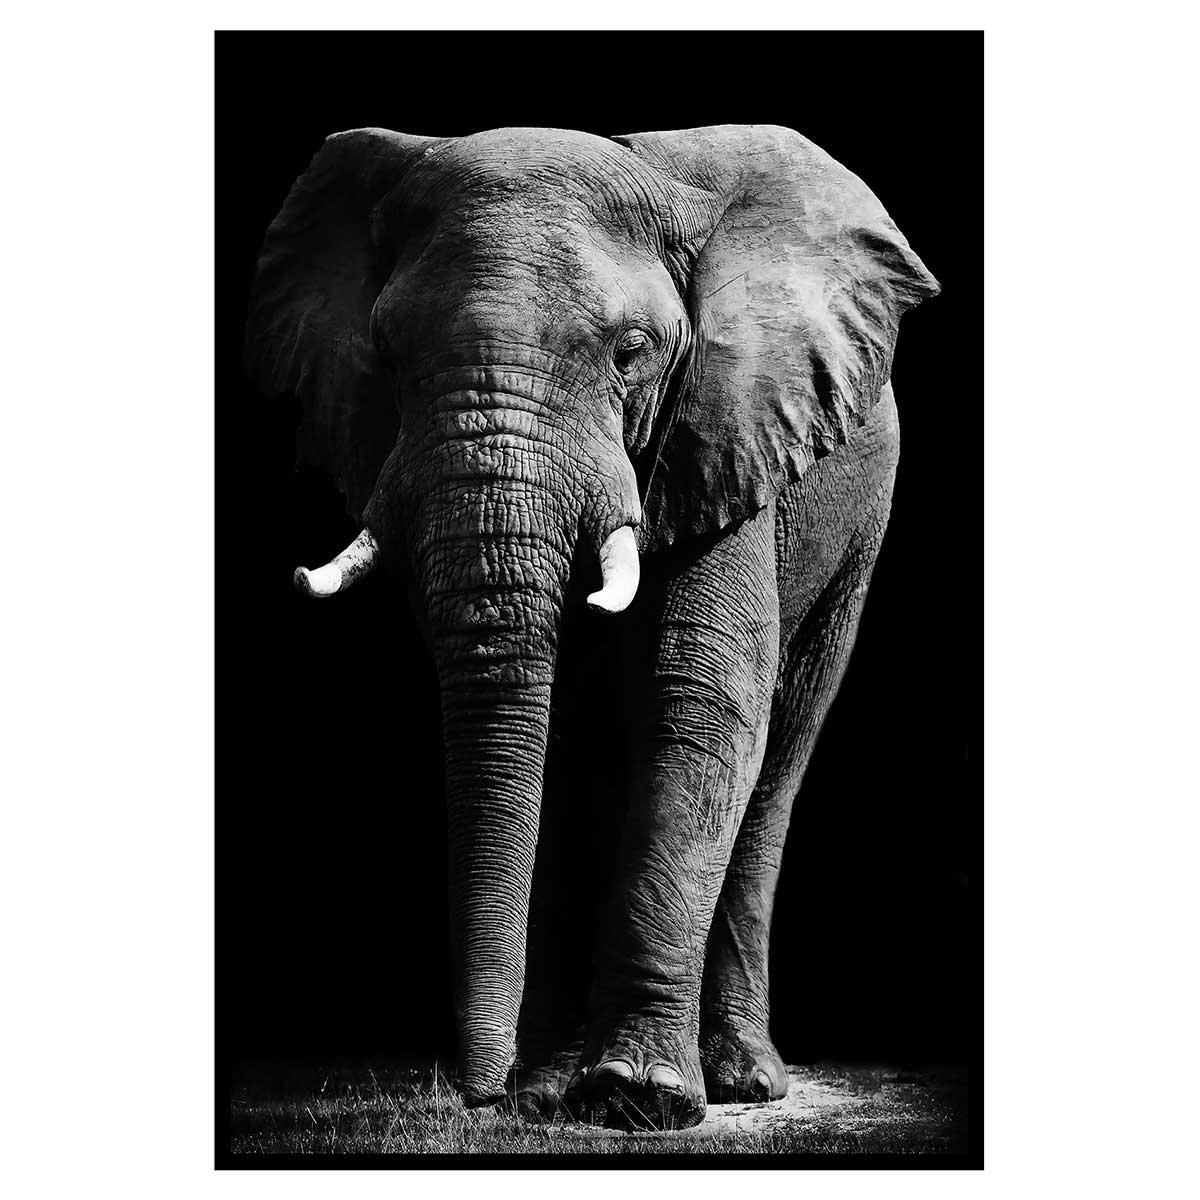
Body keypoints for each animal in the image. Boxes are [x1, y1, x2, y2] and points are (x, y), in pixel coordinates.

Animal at [245, 124, 938, 1131]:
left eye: (632, 352)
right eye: (384, 352)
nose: (481, 1096)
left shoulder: (721, 432)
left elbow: (701, 707)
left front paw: (636, 1099)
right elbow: (559, 737)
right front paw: (552, 1094)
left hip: (859, 525)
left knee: (781, 753)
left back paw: (740, 1081)